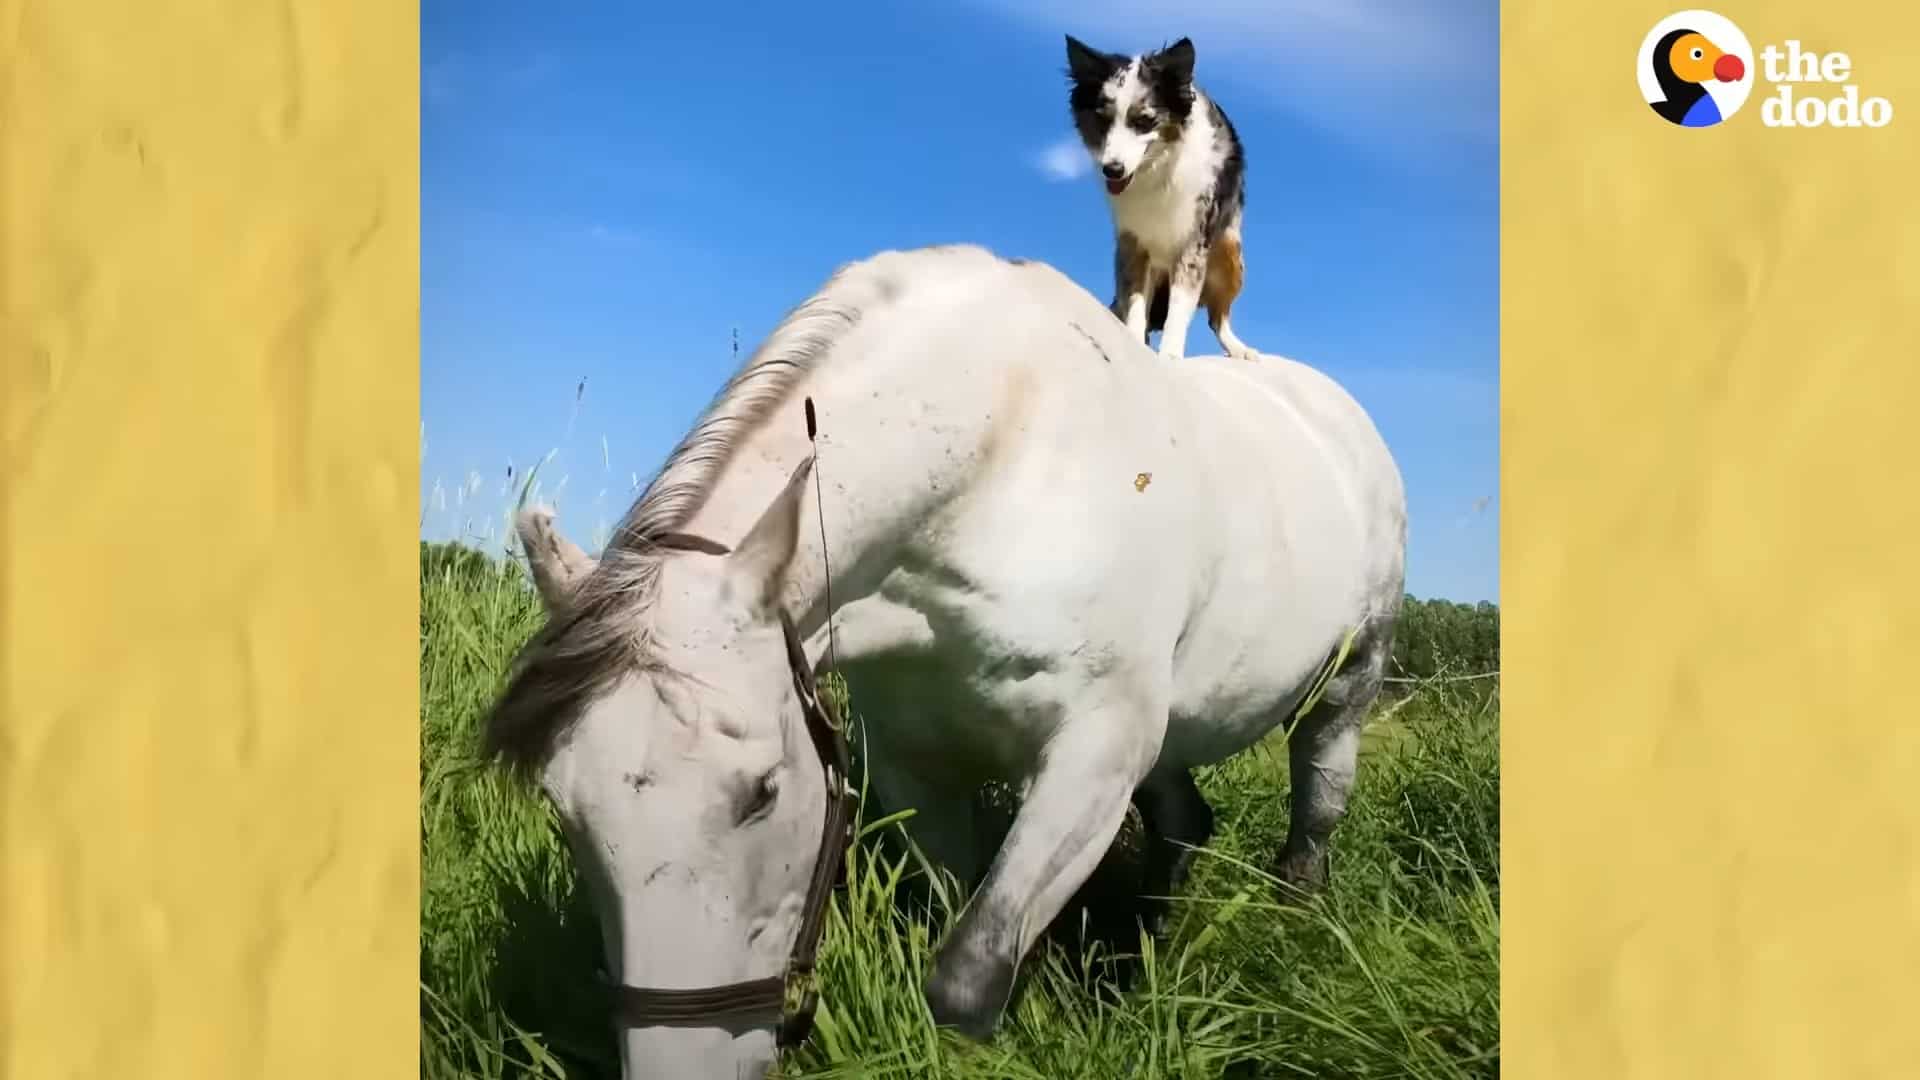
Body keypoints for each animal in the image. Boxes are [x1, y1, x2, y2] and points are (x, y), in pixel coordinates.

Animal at [487, 244, 1405, 1076]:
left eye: (763, 792)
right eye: (563, 808)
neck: (1003, 458)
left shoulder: (1094, 755)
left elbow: (965, 976)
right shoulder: (918, 765)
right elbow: (955, 913)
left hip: (1347, 683)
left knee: (1315, 803)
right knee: (1183, 823)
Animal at [1059, 34, 1251, 361]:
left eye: (1144, 121)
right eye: (1103, 120)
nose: (1112, 170)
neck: (1158, 169)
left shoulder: (1193, 244)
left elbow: (1179, 309)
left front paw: (1170, 356)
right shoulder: (1132, 242)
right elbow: (1135, 302)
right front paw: (1135, 344)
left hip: (1229, 253)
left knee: (1218, 318)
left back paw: (1239, 348)